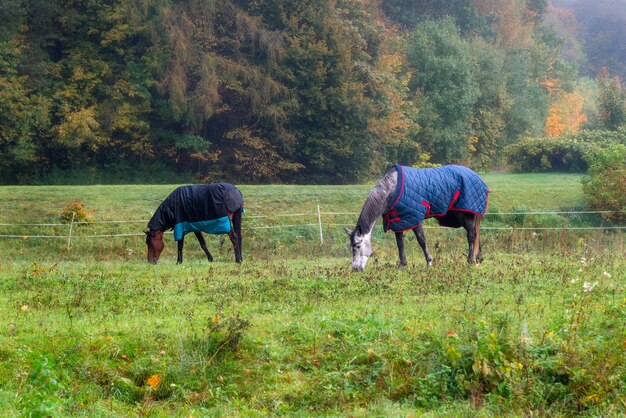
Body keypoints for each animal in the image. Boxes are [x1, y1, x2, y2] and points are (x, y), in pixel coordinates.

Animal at [346, 165, 488, 272]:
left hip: (465, 214)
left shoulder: (414, 218)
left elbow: (421, 241)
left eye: (357, 245)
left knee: (471, 235)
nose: (355, 269)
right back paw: (479, 258)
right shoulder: (399, 221)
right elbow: (400, 244)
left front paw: (429, 263)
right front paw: (402, 265)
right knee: (476, 234)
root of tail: (476, 176)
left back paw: (470, 260)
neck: (392, 190)